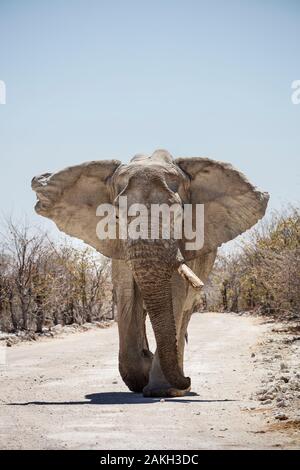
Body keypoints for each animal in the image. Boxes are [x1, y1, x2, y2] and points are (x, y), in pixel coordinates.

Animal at [31, 150, 268, 396]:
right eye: (116, 216)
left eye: (178, 214)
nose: (188, 380)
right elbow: (127, 296)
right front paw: (143, 373)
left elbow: (175, 295)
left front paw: (161, 389)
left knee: (185, 312)